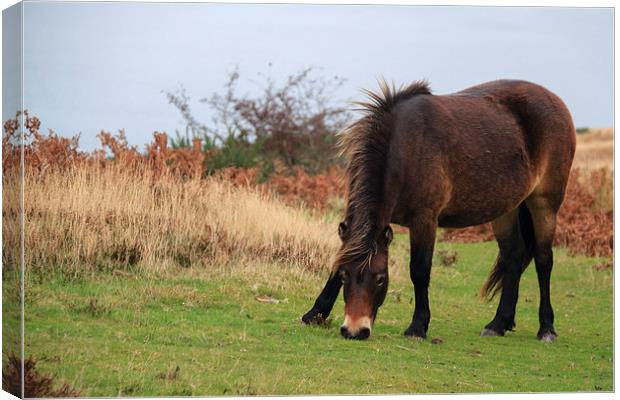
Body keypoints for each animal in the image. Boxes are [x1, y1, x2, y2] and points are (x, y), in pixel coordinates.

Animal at [300, 79, 576, 342]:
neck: (405, 148)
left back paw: (546, 328)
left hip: (544, 204)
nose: (355, 330)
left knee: (543, 261)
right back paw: (498, 323)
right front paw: (315, 314)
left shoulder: (424, 219)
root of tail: (556, 102)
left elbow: (419, 270)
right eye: (345, 276)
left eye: (380, 278)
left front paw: (417, 327)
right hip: (506, 208)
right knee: (513, 257)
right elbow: (340, 260)